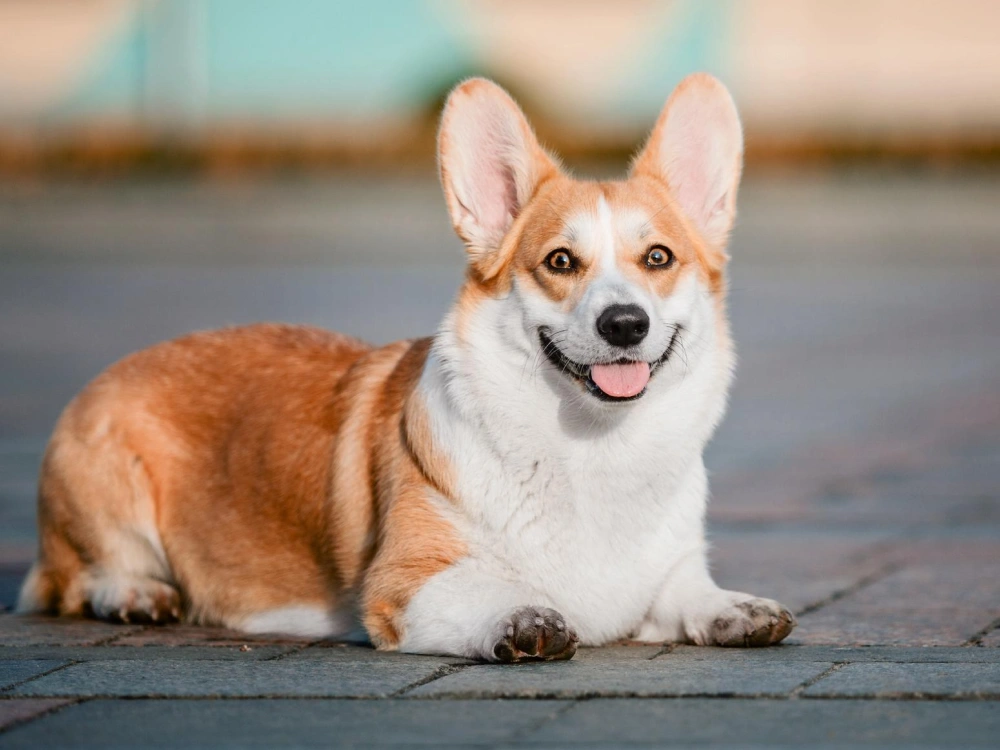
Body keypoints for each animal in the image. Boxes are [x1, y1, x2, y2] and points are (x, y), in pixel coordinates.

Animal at [17, 76, 796, 660]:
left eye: (658, 258)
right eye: (559, 262)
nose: (625, 324)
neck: (594, 447)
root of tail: (119, 365)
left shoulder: (665, 575)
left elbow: (689, 593)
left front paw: (737, 608)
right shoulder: (406, 585)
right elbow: (489, 595)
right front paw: (522, 620)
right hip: (107, 484)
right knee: (77, 577)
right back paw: (137, 595)